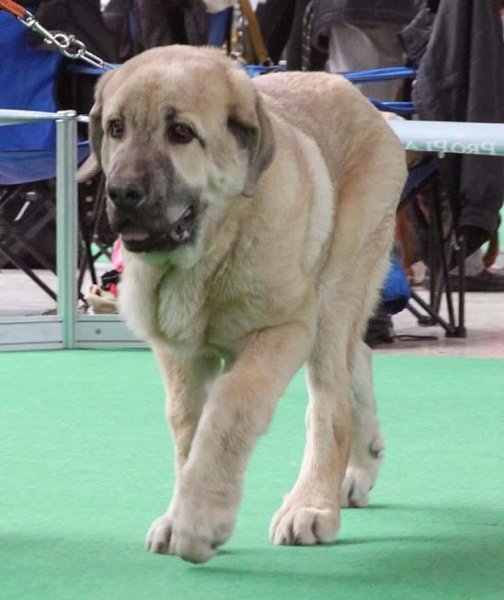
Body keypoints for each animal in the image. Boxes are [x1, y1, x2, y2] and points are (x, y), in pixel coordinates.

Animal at [86, 45, 408, 564]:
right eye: (117, 128)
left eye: (181, 133)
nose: (121, 193)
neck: (211, 254)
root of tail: (366, 104)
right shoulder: (180, 351)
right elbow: (187, 425)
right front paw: (179, 515)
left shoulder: (284, 330)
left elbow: (229, 407)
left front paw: (202, 517)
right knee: (357, 356)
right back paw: (360, 467)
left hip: (335, 290)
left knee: (331, 403)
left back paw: (312, 504)